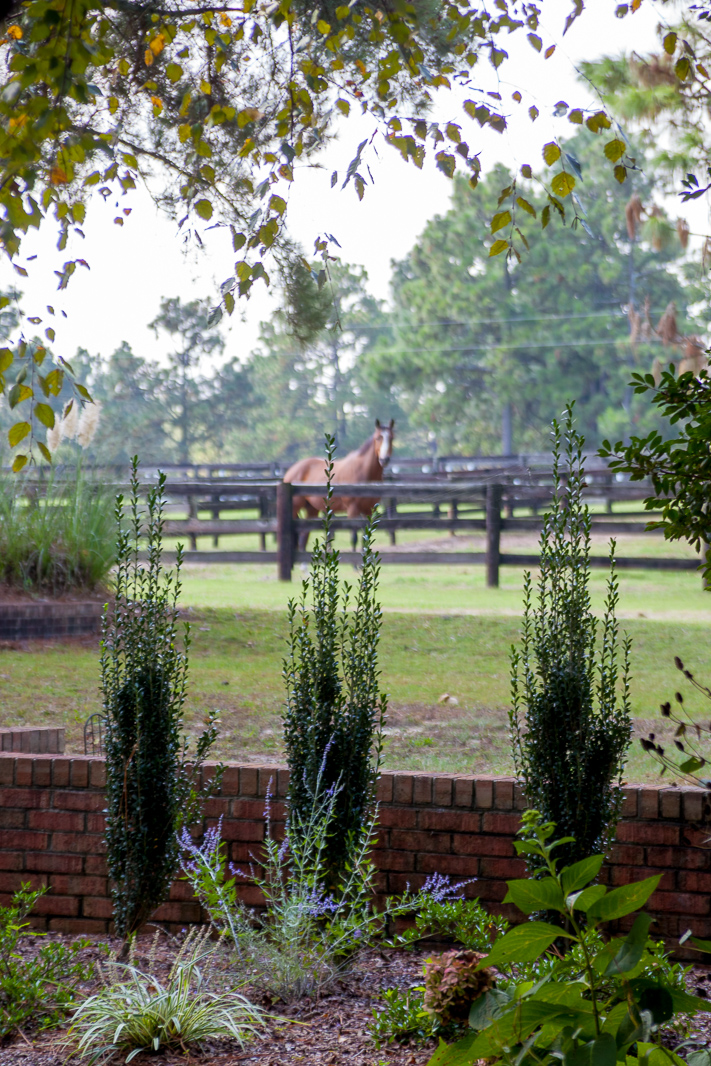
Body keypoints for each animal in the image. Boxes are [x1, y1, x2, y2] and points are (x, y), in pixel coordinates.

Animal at [283, 419, 395, 550]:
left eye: (391, 438)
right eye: (378, 438)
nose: (384, 459)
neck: (362, 471)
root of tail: (291, 471)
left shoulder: (369, 510)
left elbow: (366, 539)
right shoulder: (352, 510)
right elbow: (354, 538)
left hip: (311, 510)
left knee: (303, 537)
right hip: (295, 508)